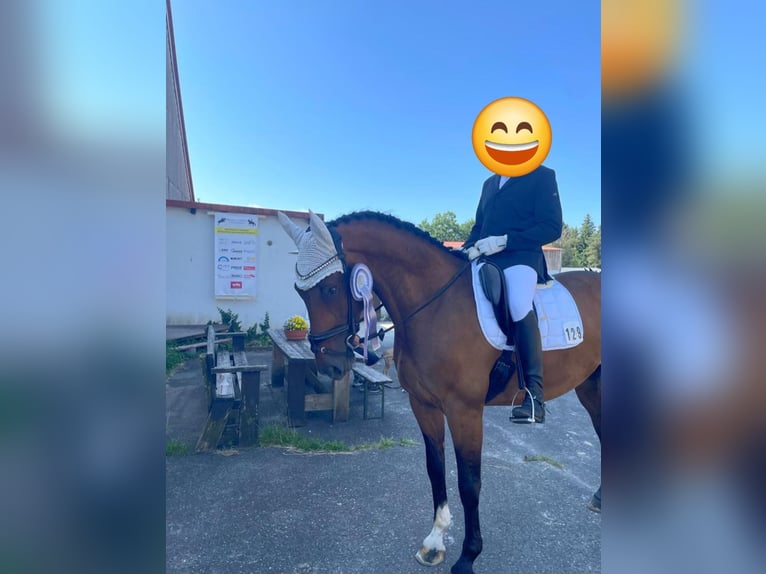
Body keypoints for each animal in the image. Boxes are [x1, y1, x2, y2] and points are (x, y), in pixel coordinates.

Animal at [278, 210, 601, 574]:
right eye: (300, 292)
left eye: (331, 288)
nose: (330, 365)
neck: (435, 306)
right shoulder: (424, 405)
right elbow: (435, 469)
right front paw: (434, 543)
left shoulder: (465, 412)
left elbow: (469, 482)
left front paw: (468, 556)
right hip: (591, 386)